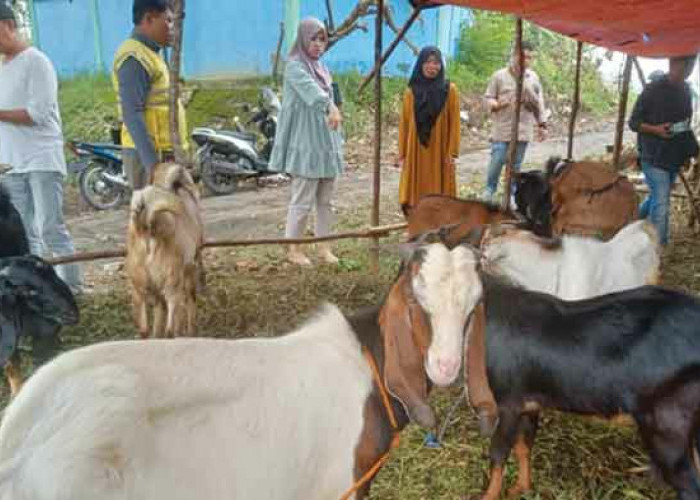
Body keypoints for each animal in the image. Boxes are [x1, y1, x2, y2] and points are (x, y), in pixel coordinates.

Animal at [0, 242, 478, 500]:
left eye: (472, 305)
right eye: (417, 301)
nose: (446, 365)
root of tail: (18, 440)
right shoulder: (338, 486)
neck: (367, 361)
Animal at [126, 162, 204, 338]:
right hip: (172, 285)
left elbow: (157, 318)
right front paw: (192, 331)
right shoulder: (190, 268)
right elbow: (191, 301)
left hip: (139, 289)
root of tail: (147, 225)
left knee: (144, 330)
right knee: (170, 328)